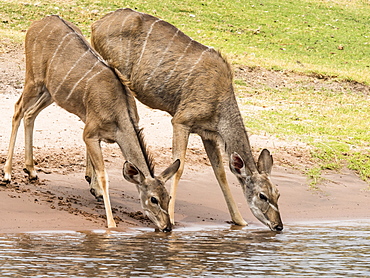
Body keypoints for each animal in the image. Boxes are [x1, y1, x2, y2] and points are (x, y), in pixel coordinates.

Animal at [3, 15, 181, 232]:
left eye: (168, 197)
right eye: (153, 199)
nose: (167, 227)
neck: (118, 111)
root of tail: (39, 22)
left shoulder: (98, 134)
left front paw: (94, 190)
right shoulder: (89, 133)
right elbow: (104, 175)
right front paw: (111, 223)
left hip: (50, 92)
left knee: (30, 114)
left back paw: (32, 171)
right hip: (33, 80)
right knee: (18, 110)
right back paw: (7, 175)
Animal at [92, 8, 284, 230]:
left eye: (277, 193)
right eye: (262, 196)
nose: (278, 226)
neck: (219, 99)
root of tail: (97, 24)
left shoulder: (207, 134)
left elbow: (220, 172)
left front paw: (240, 221)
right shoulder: (181, 121)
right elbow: (180, 167)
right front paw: (172, 218)